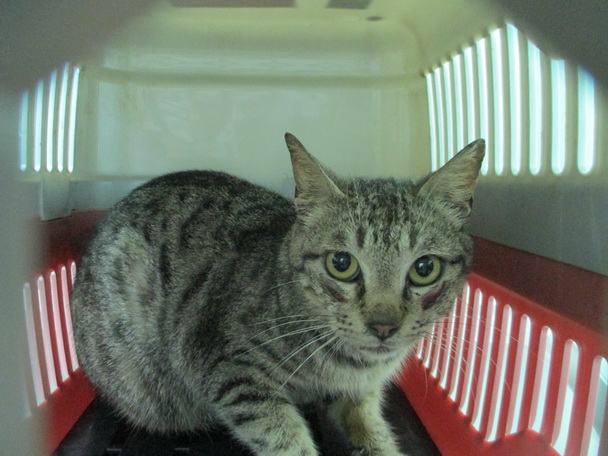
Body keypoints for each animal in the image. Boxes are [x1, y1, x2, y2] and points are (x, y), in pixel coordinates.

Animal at [71, 133, 485, 456]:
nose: (384, 326)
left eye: (424, 268)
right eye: (341, 263)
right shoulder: (232, 372)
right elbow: (283, 437)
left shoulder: (362, 392)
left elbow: (370, 427)